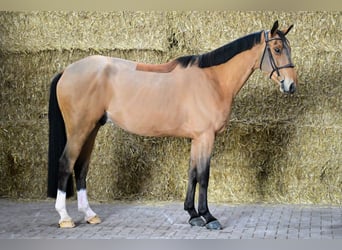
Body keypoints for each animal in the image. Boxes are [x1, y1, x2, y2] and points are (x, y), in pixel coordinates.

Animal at [47, 20, 296, 229]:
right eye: (277, 49)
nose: (291, 85)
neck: (212, 80)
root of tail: (66, 71)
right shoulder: (206, 136)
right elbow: (204, 176)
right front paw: (209, 217)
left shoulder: (197, 138)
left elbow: (192, 173)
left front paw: (193, 215)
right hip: (79, 129)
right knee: (66, 163)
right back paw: (65, 217)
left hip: (92, 128)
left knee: (81, 167)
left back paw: (90, 215)